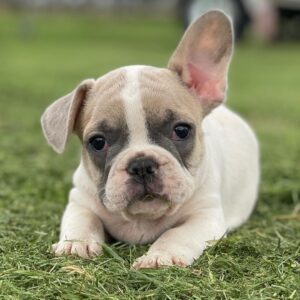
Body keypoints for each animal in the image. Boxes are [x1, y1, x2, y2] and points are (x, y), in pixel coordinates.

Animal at [41, 11, 258, 270]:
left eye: (182, 130)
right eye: (97, 142)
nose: (142, 164)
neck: (143, 217)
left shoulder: (205, 216)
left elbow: (177, 234)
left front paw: (160, 256)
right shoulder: (80, 200)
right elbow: (82, 219)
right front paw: (76, 243)